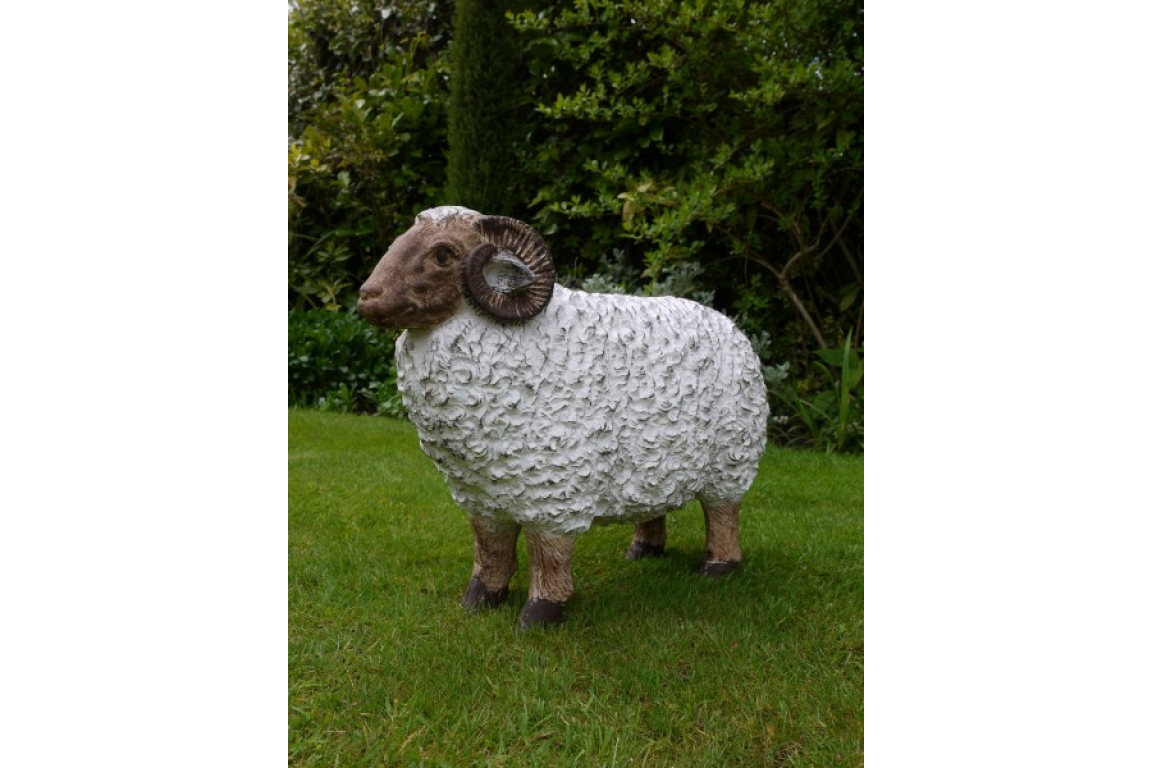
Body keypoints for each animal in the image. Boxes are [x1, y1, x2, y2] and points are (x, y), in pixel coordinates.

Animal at [357, 206, 769, 628]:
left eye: (443, 254)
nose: (367, 297)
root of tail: (729, 324)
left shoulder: (552, 486)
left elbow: (548, 553)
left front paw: (539, 613)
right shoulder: (481, 493)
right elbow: (491, 548)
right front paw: (479, 600)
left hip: (730, 460)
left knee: (723, 513)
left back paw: (718, 567)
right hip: (653, 460)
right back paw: (643, 550)